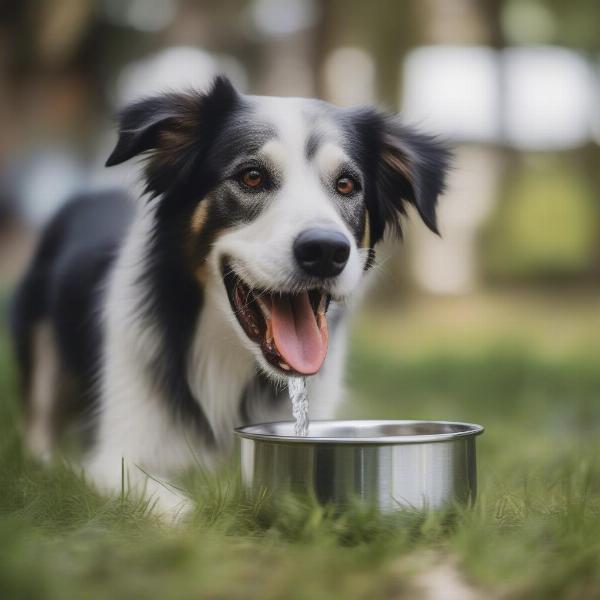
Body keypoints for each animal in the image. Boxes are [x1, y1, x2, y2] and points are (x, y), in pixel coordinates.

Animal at [10, 75, 450, 516]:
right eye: (251, 177)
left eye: (346, 185)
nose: (326, 251)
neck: (225, 354)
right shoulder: (112, 458)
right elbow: (182, 508)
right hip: (39, 341)